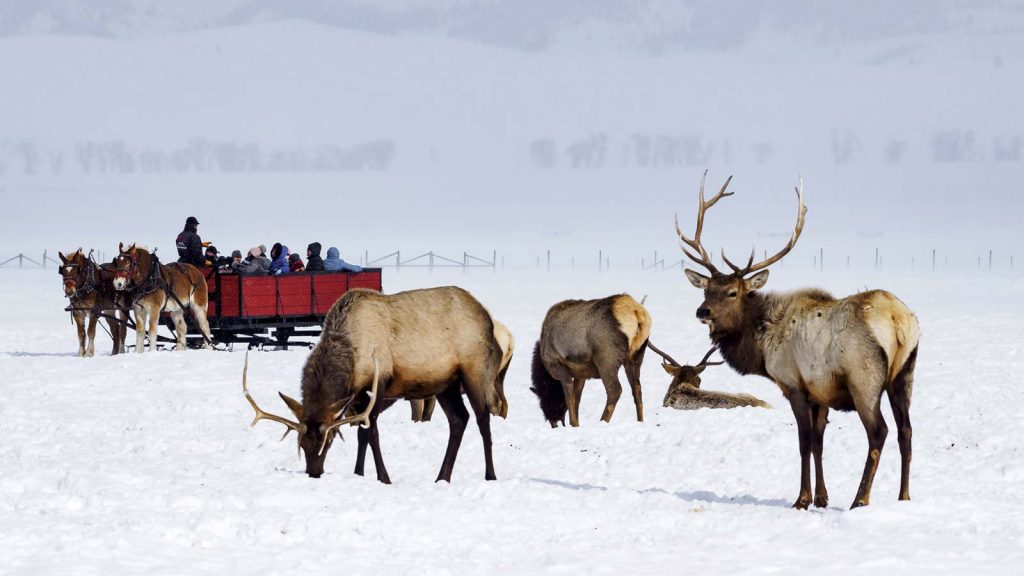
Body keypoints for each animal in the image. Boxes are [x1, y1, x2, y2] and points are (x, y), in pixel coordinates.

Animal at [532, 295, 651, 426]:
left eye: (544, 400)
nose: (553, 422)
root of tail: (636, 311)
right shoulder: (580, 374)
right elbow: (577, 399)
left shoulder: (559, 368)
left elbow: (570, 400)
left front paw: (574, 424)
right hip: (636, 356)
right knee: (637, 389)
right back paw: (640, 421)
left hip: (606, 360)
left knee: (615, 390)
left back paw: (602, 421)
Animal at [679, 170, 921, 506]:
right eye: (706, 290)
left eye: (732, 292)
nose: (702, 311)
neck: (760, 346)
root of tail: (899, 320)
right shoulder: (821, 393)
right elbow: (819, 442)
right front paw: (822, 497)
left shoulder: (794, 384)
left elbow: (804, 441)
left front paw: (802, 499)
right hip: (905, 373)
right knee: (906, 431)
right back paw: (904, 496)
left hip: (865, 378)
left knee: (879, 432)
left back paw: (860, 499)